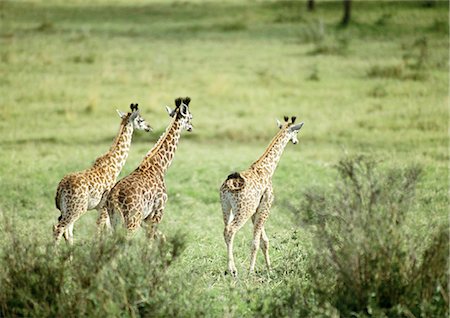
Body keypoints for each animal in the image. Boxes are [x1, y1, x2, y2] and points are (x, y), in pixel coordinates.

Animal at [53, 104, 153, 243]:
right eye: (141, 120)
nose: (149, 127)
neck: (115, 166)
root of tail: (60, 188)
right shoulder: (104, 208)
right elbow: (100, 231)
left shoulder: (102, 208)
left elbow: (106, 231)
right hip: (77, 208)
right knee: (59, 228)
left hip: (66, 208)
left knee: (67, 230)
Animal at [107, 97, 193, 238]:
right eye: (190, 117)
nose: (191, 127)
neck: (160, 166)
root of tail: (114, 197)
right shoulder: (157, 212)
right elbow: (151, 240)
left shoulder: (146, 218)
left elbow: (161, 237)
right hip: (132, 220)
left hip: (115, 220)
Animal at [220, 115, 304, 276]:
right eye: (296, 132)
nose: (296, 141)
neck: (267, 169)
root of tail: (229, 186)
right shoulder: (266, 206)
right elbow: (256, 242)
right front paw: (251, 271)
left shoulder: (256, 210)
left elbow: (264, 240)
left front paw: (269, 269)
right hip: (243, 211)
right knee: (231, 230)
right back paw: (233, 270)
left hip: (226, 208)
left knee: (225, 230)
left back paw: (230, 269)